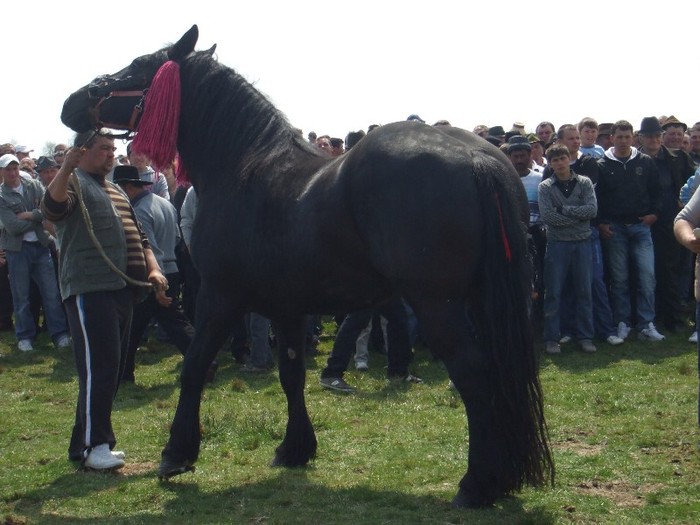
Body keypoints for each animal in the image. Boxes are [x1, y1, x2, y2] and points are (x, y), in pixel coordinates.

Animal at [60, 25, 552, 508]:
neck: (244, 169)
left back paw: (477, 484)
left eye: (139, 65)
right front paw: (295, 448)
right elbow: (291, 374)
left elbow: (195, 365)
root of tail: (478, 156)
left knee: (474, 375)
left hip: (438, 304)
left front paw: (177, 454)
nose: (73, 104)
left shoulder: (221, 296)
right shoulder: (288, 308)